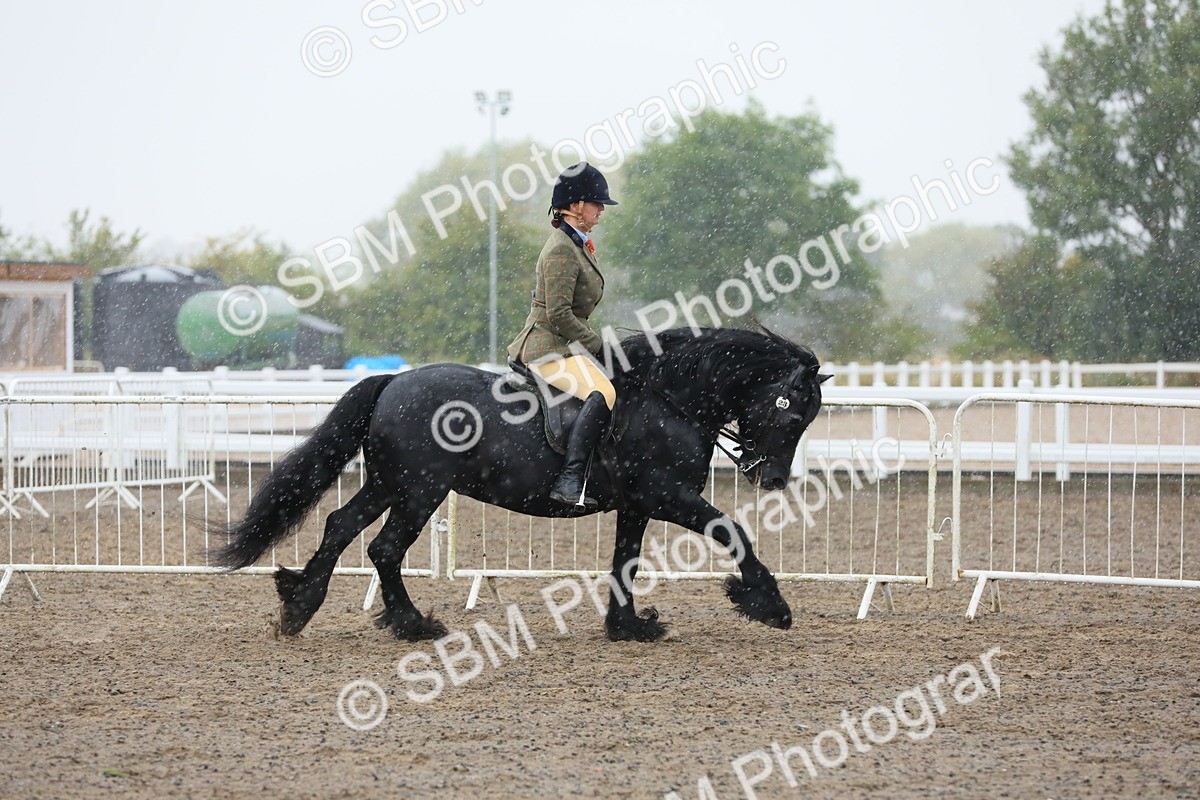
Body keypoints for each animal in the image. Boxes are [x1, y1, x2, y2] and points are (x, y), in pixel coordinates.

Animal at [215, 326, 830, 642]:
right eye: (789, 409)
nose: (773, 478)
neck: (668, 400)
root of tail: (393, 381)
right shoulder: (668, 497)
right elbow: (734, 532)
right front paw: (768, 605)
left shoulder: (637, 505)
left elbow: (625, 561)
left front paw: (628, 627)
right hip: (420, 490)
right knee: (384, 547)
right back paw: (413, 626)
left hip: (392, 484)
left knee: (343, 525)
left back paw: (299, 606)